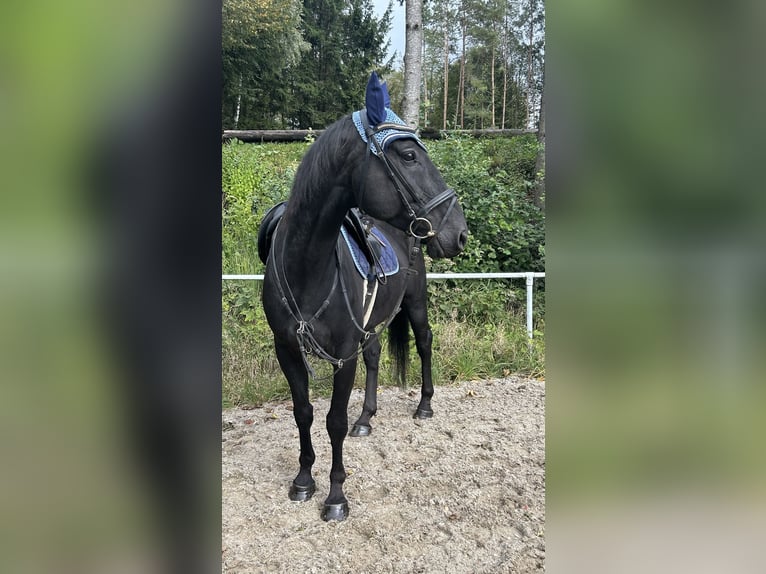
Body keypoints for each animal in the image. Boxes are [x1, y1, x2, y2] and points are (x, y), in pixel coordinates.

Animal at [260, 72, 468, 520]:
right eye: (408, 155)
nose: (458, 231)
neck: (308, 267)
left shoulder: (343, 354)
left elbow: (334, 420)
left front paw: (336, 496)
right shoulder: (287, 348)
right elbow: (303, 412)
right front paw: (303, 480)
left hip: (416, 304)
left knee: (424, 343)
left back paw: (424, 405)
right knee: (374, 355)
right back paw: (367, 418)